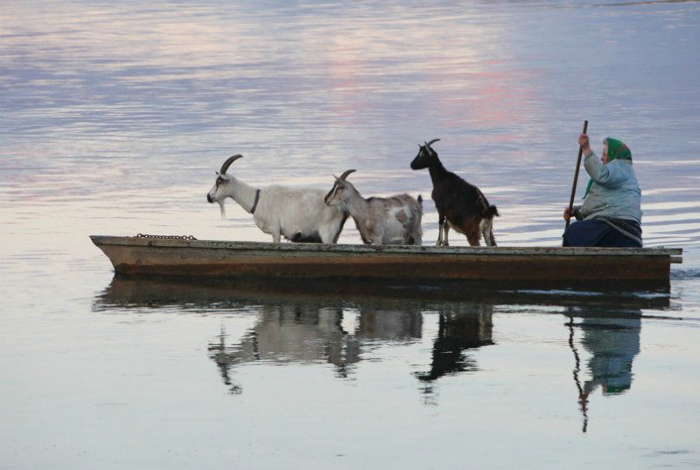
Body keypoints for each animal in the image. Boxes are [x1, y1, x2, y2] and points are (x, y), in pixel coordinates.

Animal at [208, 155, 350, 244]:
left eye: (219, 182)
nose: (208, 197)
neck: (257, 199)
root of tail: (342, 207)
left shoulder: (275, 229)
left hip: (327, 232)